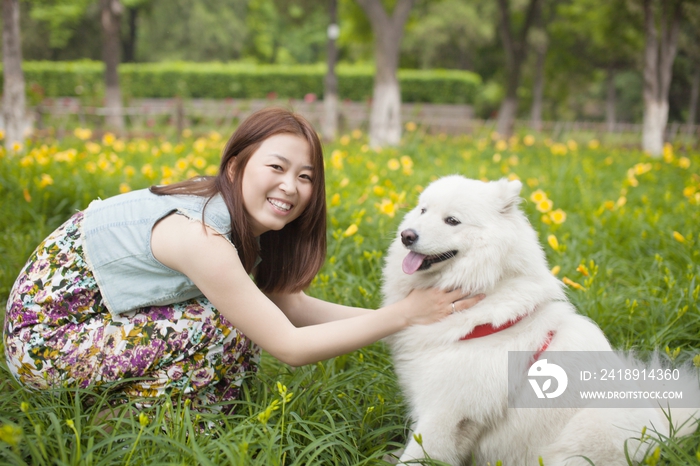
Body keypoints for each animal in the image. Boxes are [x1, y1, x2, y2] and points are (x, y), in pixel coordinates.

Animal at [382, 176, 696, 466]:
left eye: (452, 220)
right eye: (423, 210)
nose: (406, 235)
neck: (484, 292)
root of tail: (663, 431)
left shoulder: (447, 412)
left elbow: (417, 455)